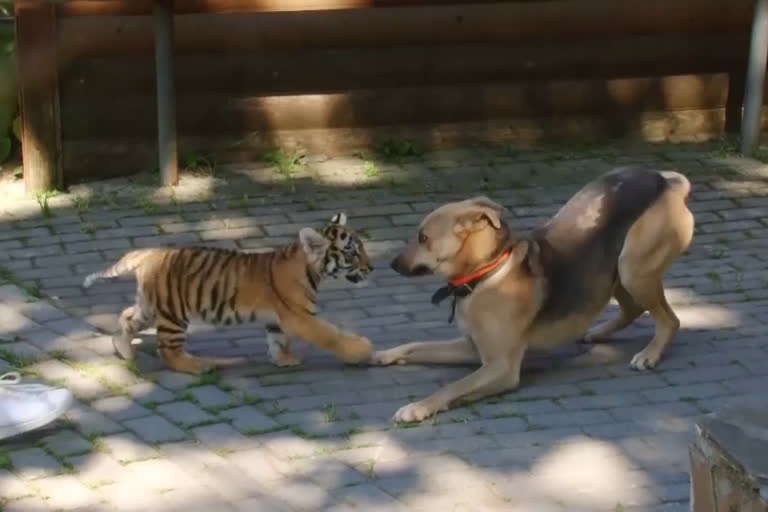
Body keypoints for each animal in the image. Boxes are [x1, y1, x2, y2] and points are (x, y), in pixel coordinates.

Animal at [372, 166, 696, 422]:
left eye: (423, 237)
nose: (391, 263)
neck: (487, 271)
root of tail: (666, 181)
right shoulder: (472, 348)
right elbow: (416, 345)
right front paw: (386, 354)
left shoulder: (501, 367)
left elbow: (453, 387)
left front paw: (418, 407)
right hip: (614, 273)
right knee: (633, 309)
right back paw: (598, 333)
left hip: (633, 269)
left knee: (669, 320)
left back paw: (650, 354)